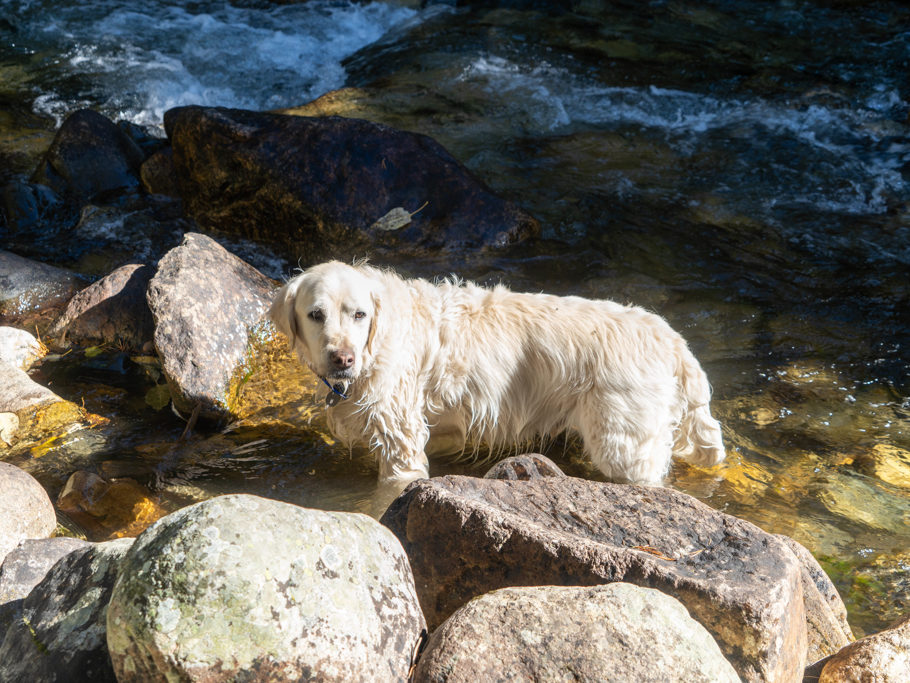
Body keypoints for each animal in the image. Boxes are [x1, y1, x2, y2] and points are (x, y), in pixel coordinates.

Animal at [268, 260, 728, 486]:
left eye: (359, 314)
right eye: (316, 314)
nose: (342, 359)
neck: (376, 343)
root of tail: (671, 338)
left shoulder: (402, 445)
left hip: (623, 444)